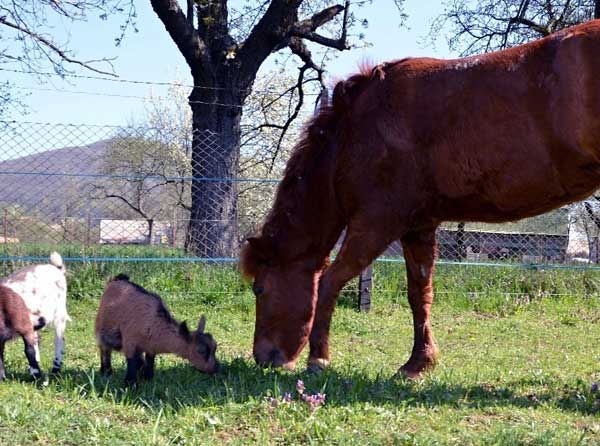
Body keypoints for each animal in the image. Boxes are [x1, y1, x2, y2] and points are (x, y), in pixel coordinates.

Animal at [241, 20, 600, 376]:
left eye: (260, 288)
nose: (263, 358)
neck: (355, 132)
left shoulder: (375, 223)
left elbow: (331, 281)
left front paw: (318, 358)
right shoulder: (418, 227)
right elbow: (419, 293)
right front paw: (418, 362)